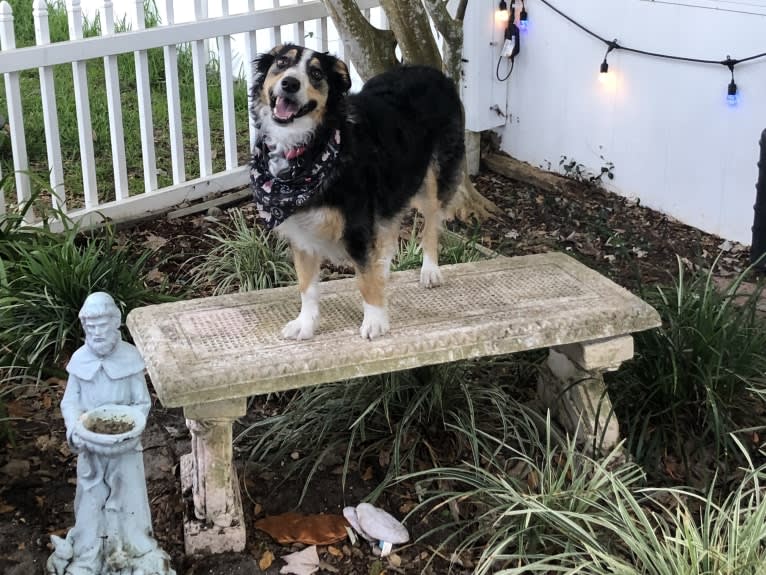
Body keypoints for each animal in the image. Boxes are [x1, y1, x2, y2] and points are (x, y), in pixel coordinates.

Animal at [250, 46, 468, 342]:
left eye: (316, 73)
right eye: (282, 63)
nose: (290, 83)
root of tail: (433, 71)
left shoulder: (357, 226)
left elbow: (364, 280)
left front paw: (375, 321)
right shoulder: (302, 230)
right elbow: (306, 285)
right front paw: (306, 324)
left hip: (431, 177)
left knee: (432, 221)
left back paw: (430, 270)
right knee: (390, 233)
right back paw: (384, 269)